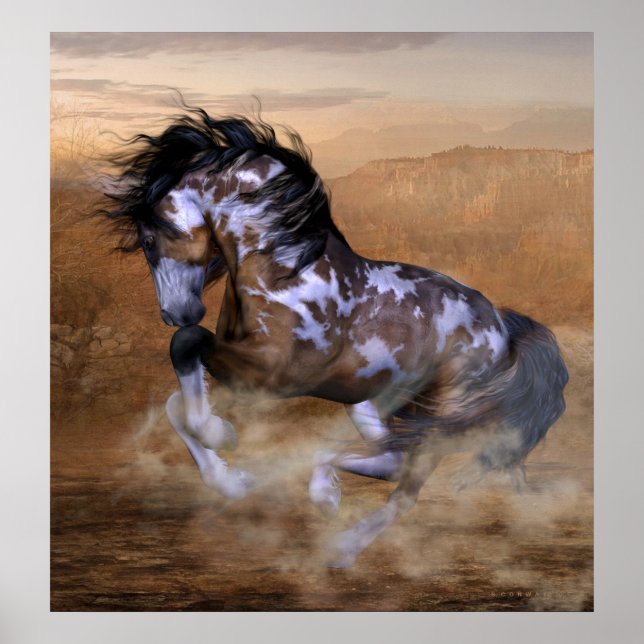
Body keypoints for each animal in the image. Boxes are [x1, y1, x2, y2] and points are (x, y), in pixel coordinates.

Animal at [99, 106, 569, 567]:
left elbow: (185, 349)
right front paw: (230, 479)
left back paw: (337, 539)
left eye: (148, 240)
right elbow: (175, 403)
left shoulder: (273, 374)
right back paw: (328, 500)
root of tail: (502, 330)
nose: (175, 312)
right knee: (393, 461)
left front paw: (221, 434)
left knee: (405, 490)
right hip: (375, 404)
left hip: (442, 415)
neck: (284, 268)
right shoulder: (243, 372)